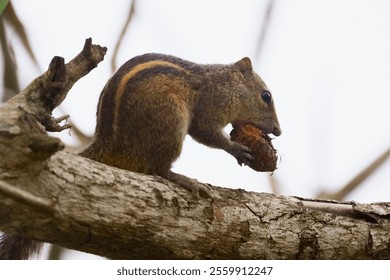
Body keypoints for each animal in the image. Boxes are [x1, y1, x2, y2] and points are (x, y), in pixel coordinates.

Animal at [0, 53, 280, 260]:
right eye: (266, 96)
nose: (278, 131)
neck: (225, 82)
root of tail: (111, 147)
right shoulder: (213, 103)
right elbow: (205, 130)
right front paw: (236, 149)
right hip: (170, 122)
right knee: (158, 169)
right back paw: (185, 180)